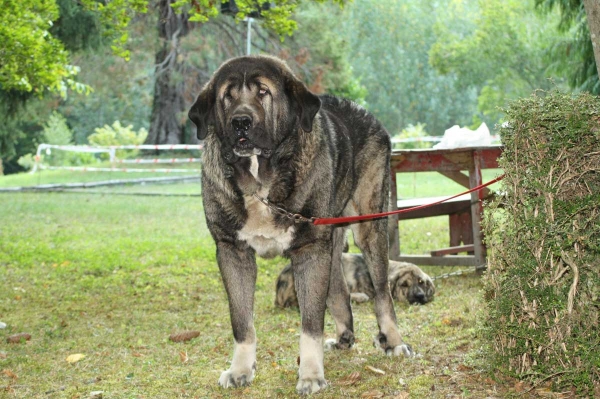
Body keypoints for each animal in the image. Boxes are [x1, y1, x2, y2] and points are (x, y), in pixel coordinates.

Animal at [189, 54, 412, 396]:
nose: (241, 121)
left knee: (382, 292)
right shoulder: (232, 252)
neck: (260, 180)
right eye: (227, 96)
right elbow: (241, 320)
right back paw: (345, 337)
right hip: (331, 239)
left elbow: (310, 323)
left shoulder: (309, 250)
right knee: (339, 289)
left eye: (263, 92)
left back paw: (394, 341)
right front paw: (240, 370)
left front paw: (310, 374)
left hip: (368, 226)